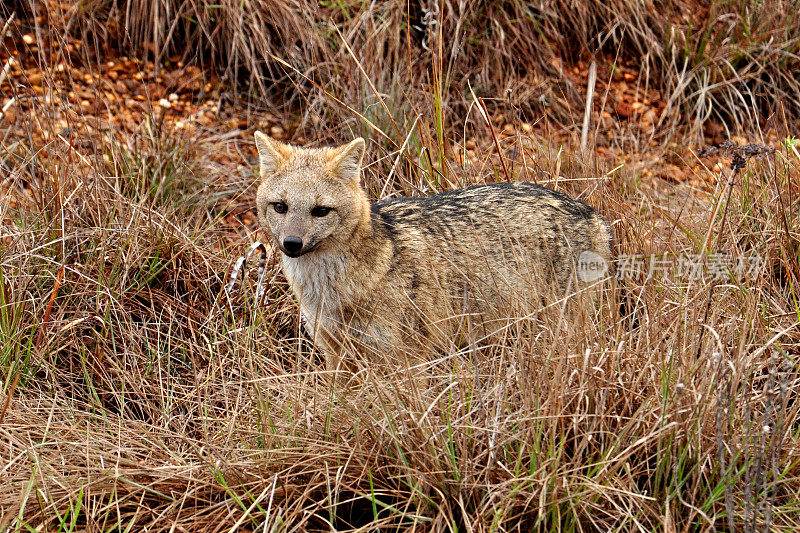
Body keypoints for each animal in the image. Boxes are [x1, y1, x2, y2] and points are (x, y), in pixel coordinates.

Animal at [255, 131, 612, 368]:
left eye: (320, 211)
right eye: (280, 207)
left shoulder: (405, 359)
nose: (291, 244)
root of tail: (591, 213)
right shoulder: (335, 354)